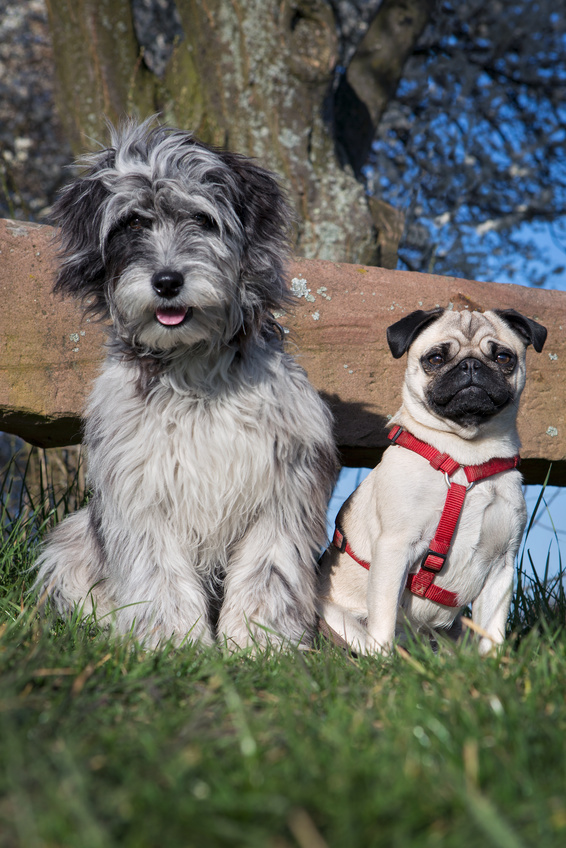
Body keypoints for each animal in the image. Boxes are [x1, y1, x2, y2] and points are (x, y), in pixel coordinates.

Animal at [35, 119, 338, 648]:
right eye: (132, 223)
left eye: (202, 219)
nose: (167, 281)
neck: (193, 374)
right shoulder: (141, 494)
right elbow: (160, 576)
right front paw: (173, 644)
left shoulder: (280, 491)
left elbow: (267, 575)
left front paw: (262, 645)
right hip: (73, 539)